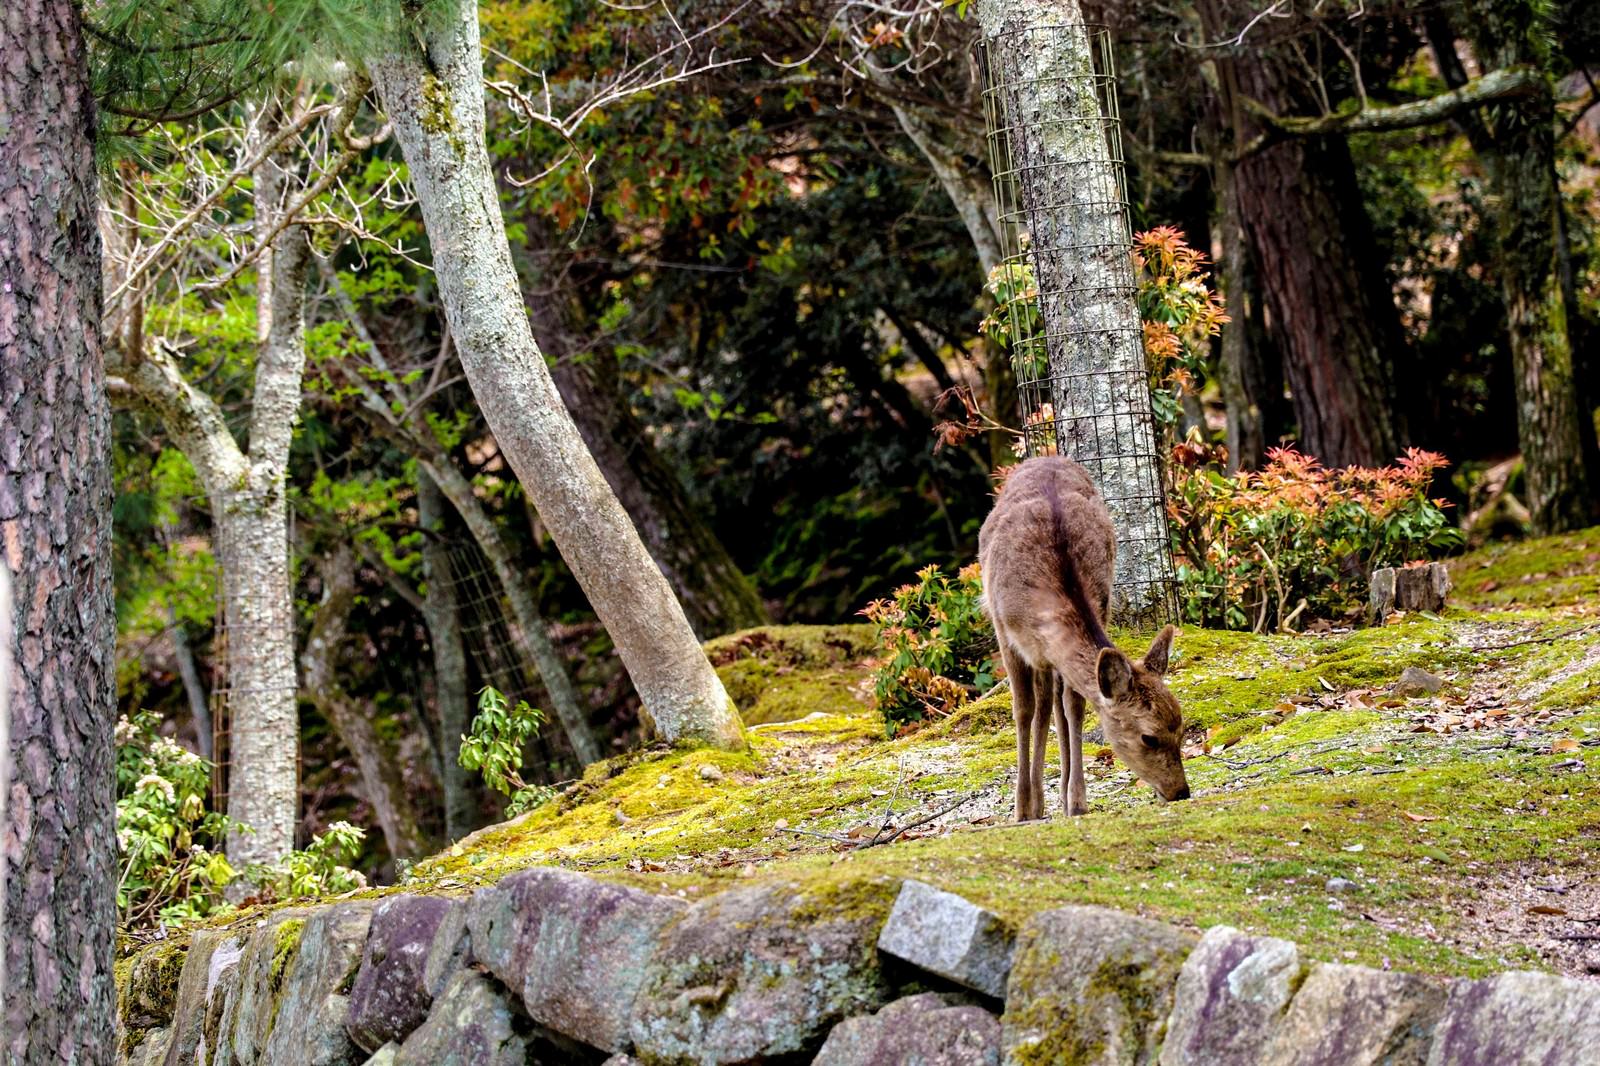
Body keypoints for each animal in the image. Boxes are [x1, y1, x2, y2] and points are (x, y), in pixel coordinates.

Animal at [978, 456, 1189, 819]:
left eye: (1181, 726)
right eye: (1149, 737)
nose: (1181, 791)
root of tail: (1045, 457)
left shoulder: (1100, 607)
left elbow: (1073, 706)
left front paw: (1076, 801)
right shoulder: (1006, 634)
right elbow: (1023, 710)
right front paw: (1021, 809)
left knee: (1054, 703)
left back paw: (1056, 795)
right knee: (1040, 706)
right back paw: (1035, 802)